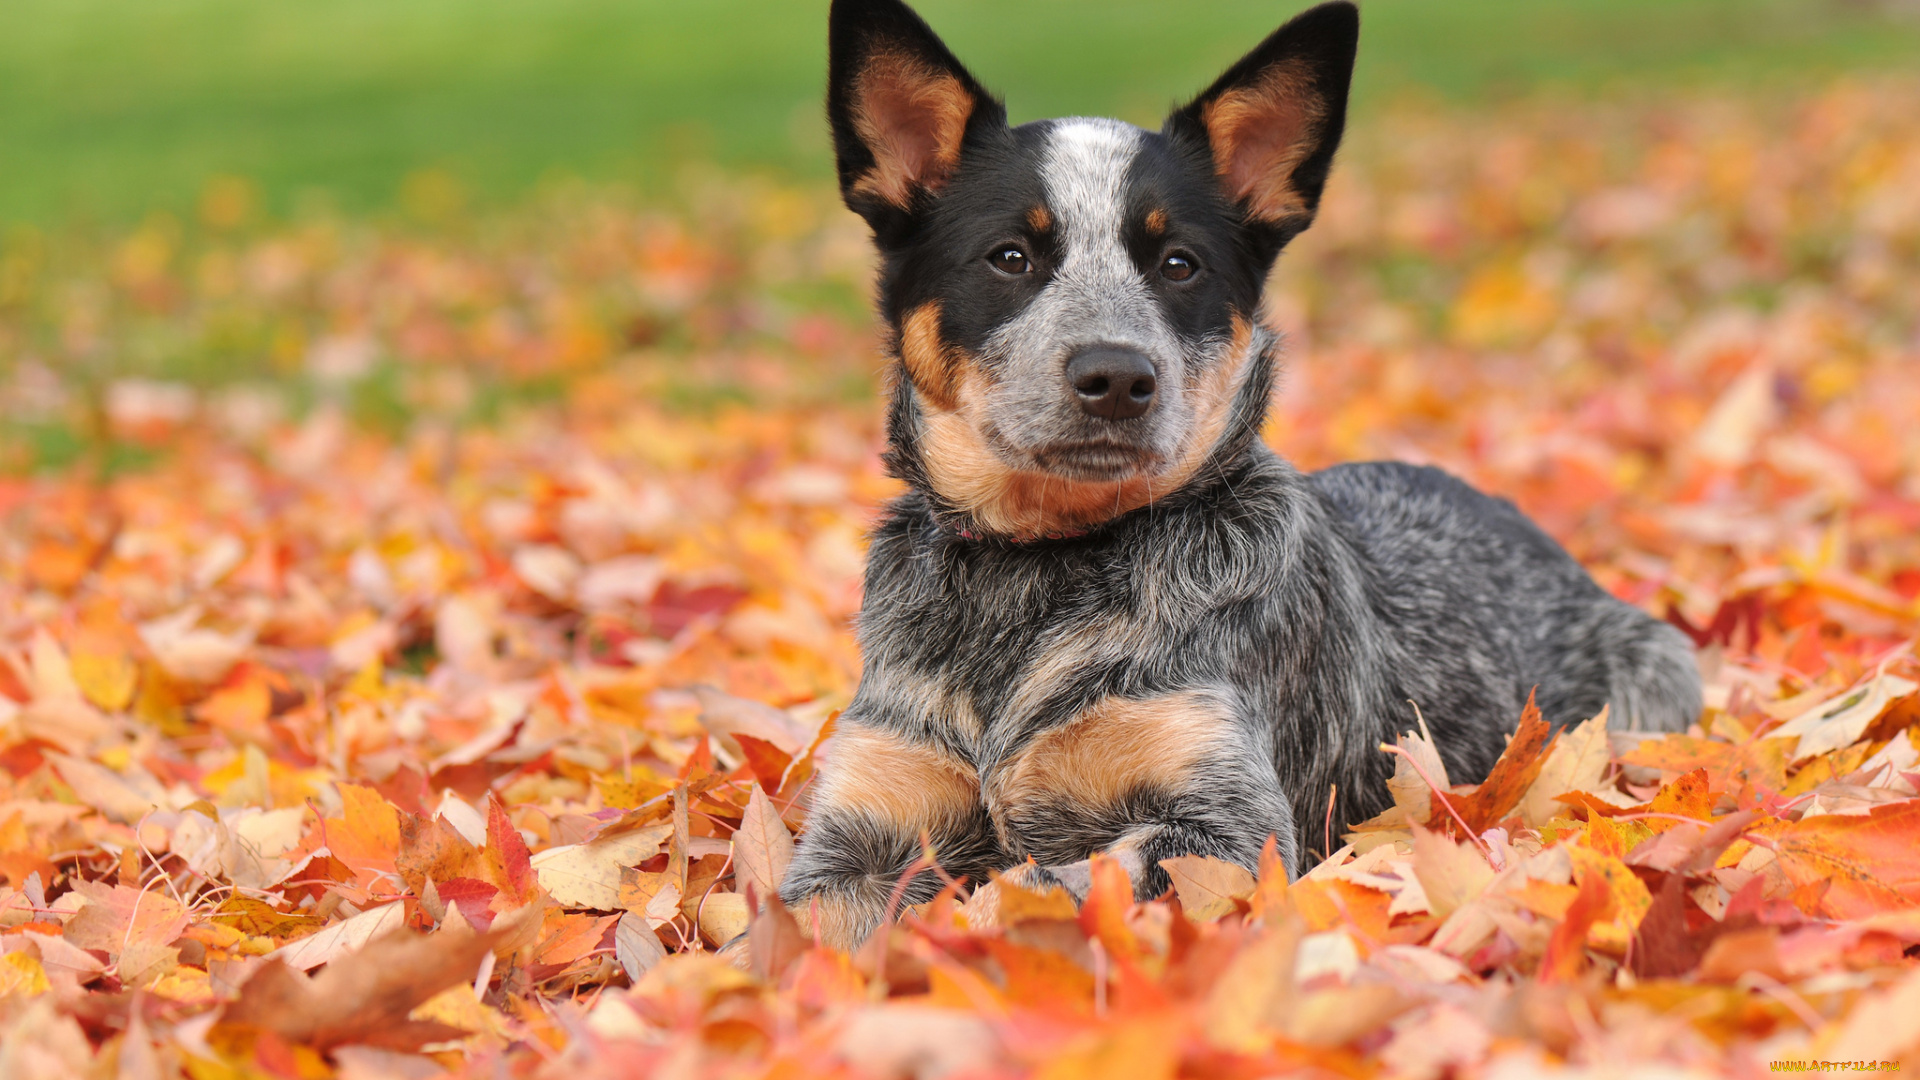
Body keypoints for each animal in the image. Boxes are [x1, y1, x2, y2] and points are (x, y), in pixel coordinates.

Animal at [771, 0, 1704, 941]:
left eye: (1179, 264)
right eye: (1010, 256)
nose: (1118, 377)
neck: (1038, 567)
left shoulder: (1224, 827)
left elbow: (1035, 885)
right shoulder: (865, 825)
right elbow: (785, 934)